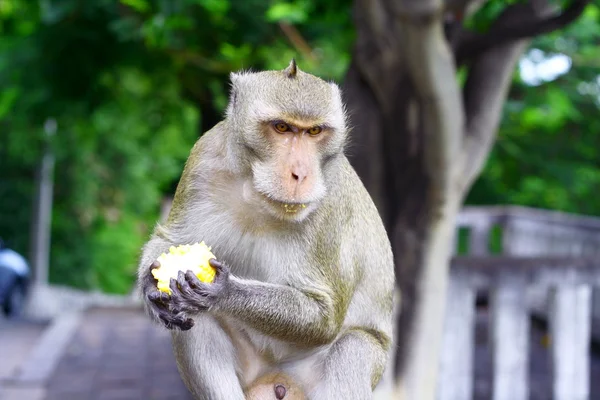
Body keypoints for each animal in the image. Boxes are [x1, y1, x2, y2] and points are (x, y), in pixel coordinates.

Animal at [138, 60, 396, 400]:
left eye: (314, 131)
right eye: (282, 128)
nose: (300, 174)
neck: (257, 192)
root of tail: (277, 379)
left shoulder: (330, 196)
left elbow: (325, 317)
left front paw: (223, 291)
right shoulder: (203, 157)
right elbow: (172, 238)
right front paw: (149, 286)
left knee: (351, 349)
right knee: (196, 317)